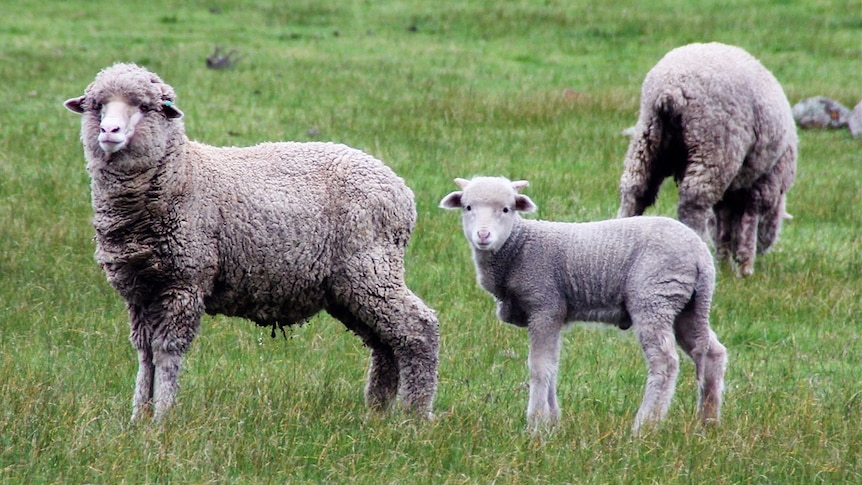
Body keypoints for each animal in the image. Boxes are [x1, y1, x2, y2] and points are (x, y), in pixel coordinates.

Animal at [63, 63, 438, 420]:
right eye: (97, 106)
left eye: (144, 107)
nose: (109, 132)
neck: (183, 174)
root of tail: (400, 188)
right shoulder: (140, 291)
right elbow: (145, 354)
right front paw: (138, 417)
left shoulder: (184, 282)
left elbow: (167, 352)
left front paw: (162, 418)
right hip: (348, 287)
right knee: (385, 343)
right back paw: (377, 411)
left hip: (370, 268)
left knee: (419, 328)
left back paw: (414, 414)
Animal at [438, 176, 728, 432]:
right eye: (468, 207)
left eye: (506, 209)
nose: (483, 235)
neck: (519, 247)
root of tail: (701, 254)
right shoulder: (555, 313)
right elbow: (552, 365)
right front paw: (552, 422)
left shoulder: (544, 305)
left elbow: (539, 367)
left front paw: (535, 425)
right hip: (687, 305)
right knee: (712, 353)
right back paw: (708, 422)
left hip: (654, 297)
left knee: (665, 363)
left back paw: (644, 427)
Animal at [620, 41, 796, 276]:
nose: (764, 249)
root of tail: (670, 90)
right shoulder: (765, 180)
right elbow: (750, 218)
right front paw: (745, 266)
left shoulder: (732, 191)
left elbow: (724, 223)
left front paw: (725, 262)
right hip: (714, 146)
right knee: (693, 202)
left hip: (647, 139)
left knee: (634, 191)